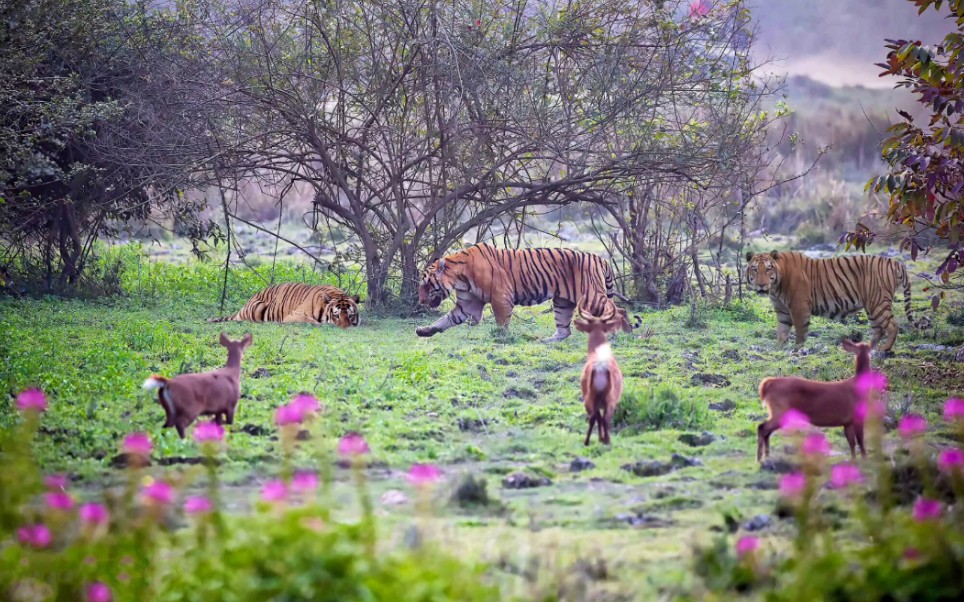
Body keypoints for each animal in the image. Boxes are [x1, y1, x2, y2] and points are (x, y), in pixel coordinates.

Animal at [209, 282, 360, 328]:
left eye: (350, 315)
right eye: (336, 315)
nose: (346, 328)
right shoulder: (295, 315)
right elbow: (312, 321)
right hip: (257, 308)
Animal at [412, 240, 632, 342]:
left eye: (427, 285)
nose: (421, 301)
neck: (459, 278)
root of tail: (599, 258)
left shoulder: (501, 298)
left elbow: (501, 322)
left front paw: (501, 338)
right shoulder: (467, 305)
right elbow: (444, 320)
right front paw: (424, 331)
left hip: (591, 297)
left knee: (619, 310)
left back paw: (623, 333)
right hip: (562, 302)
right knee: (564, 330)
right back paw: (546, 341)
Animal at [572, 298, 624, 442]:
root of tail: (600, 369)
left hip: (590, 397)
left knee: (595, 418)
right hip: (606, 398)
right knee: (603, 419)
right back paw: (604, 440)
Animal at [744, 250, 912, 352]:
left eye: (768, 269)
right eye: (755, 269)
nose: (761, 285)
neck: (776, 287)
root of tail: (895, 263)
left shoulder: (799, 307)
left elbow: (800, 331)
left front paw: (797, 349)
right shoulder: (782, 310)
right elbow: (782, 331)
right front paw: (778, 348)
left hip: (878, 302)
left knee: (893, 326)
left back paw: (885, 349)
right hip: (872, 307)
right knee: (878, 329)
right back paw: (867, 349)